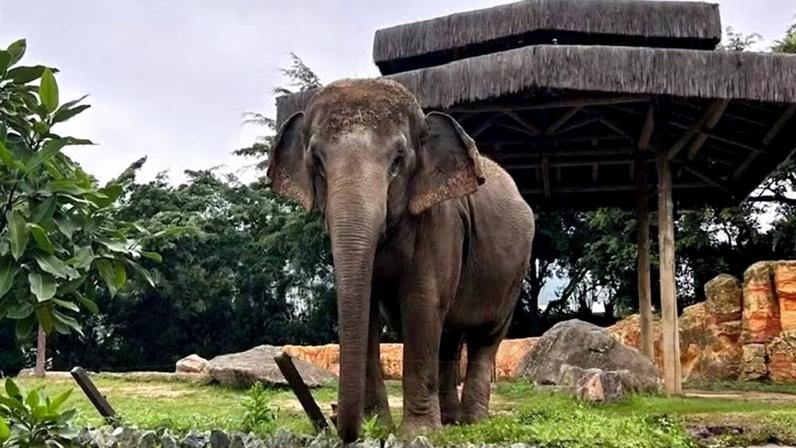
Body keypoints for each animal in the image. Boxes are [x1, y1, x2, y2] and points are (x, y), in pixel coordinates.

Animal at [267, 78, 534, 443]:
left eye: (397, 160)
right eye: (317, 162)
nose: (335, 421)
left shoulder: (441, 223)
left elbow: (421, 305)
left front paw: (416, 434)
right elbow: (367, 310)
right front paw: (381, 428)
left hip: (514, 273)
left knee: (485, 337)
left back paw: (474, 423)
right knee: (449, 338)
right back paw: (451, 421)